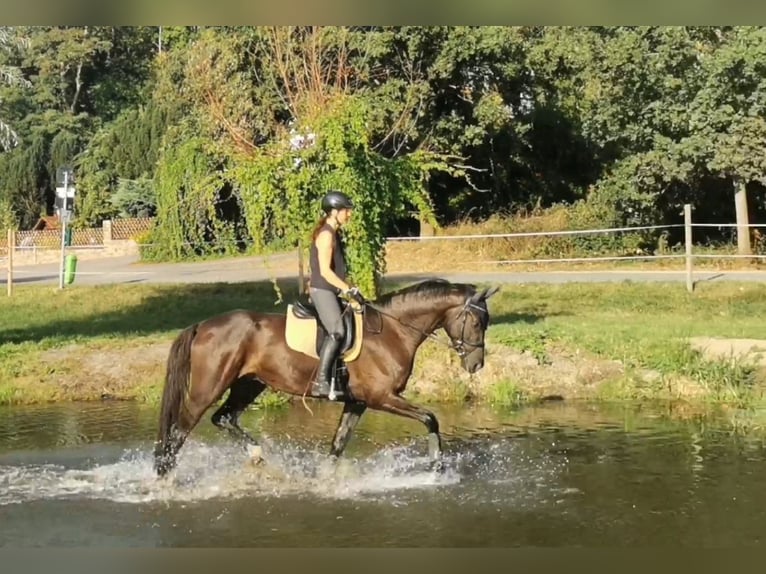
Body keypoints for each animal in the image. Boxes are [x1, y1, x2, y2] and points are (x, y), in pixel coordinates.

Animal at [153, 279, 499, 477]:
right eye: (476, 322)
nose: (476, 364)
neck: (393, 331)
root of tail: (203, 325)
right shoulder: (381, 398)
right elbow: (430, 419)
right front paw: (437, 467)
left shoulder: (358, 402)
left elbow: (338, 444)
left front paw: (325, 481)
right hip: (208, 388)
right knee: (180, 430)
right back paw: (164, 478)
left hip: (249, 384)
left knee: (224, 418)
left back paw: (257, 456)